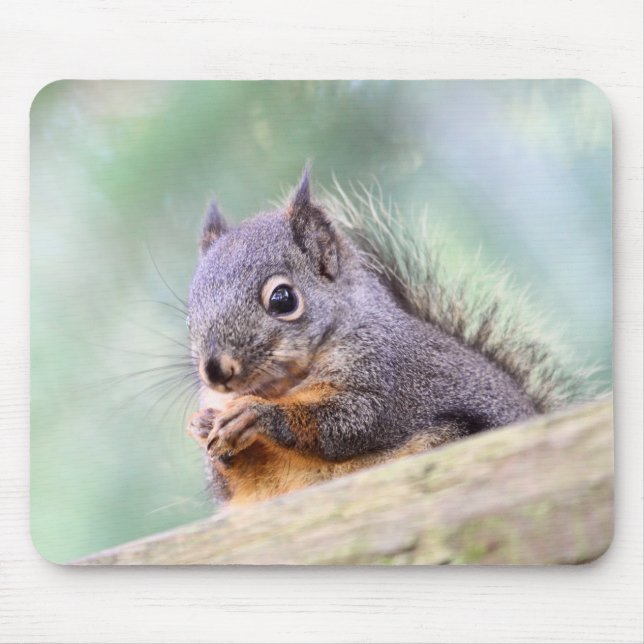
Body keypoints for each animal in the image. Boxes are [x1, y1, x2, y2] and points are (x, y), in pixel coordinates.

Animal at [186, 169, 578, 505]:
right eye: (190, 313)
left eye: (283, 299)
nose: (215, 371)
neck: (282, 385)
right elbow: (233, 479)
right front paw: (203, 425)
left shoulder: (385, 370)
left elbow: (352, 421)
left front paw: (256, 414)